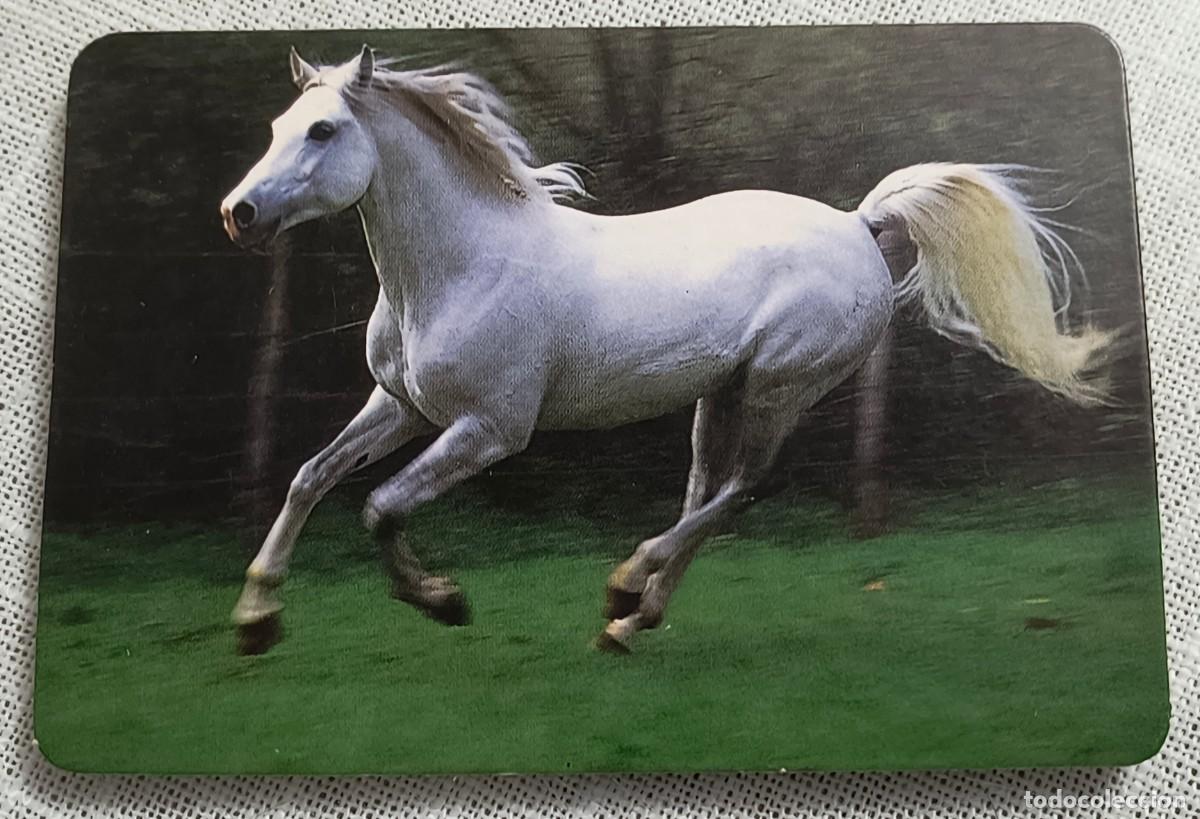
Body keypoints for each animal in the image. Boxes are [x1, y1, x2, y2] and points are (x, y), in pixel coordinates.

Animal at [219, 46, 1110, 656]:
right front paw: (256, 618)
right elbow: (310, 477)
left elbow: (381, 506)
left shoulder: (490, 429)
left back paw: (624, 586)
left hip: (780, 384)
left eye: (325, 129)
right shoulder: (402, 405)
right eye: (275, 128)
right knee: (707, 492)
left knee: (749, 487)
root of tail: (859, 224)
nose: (239, 213)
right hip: (721, 393)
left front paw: (444, 601)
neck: (461, 265)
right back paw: (630, 619)